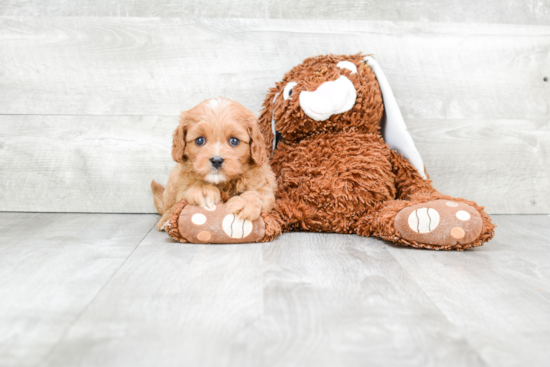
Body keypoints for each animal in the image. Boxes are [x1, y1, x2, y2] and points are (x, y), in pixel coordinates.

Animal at [152, 96, 276, 231]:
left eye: (234, 141)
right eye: (200, 140)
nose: (216, 160)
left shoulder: (264, 184)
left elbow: (258, 194)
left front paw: (245, 203)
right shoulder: (182, 184)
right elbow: (187, 190)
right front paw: (203, 189)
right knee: (169, 207)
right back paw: (166, 220)